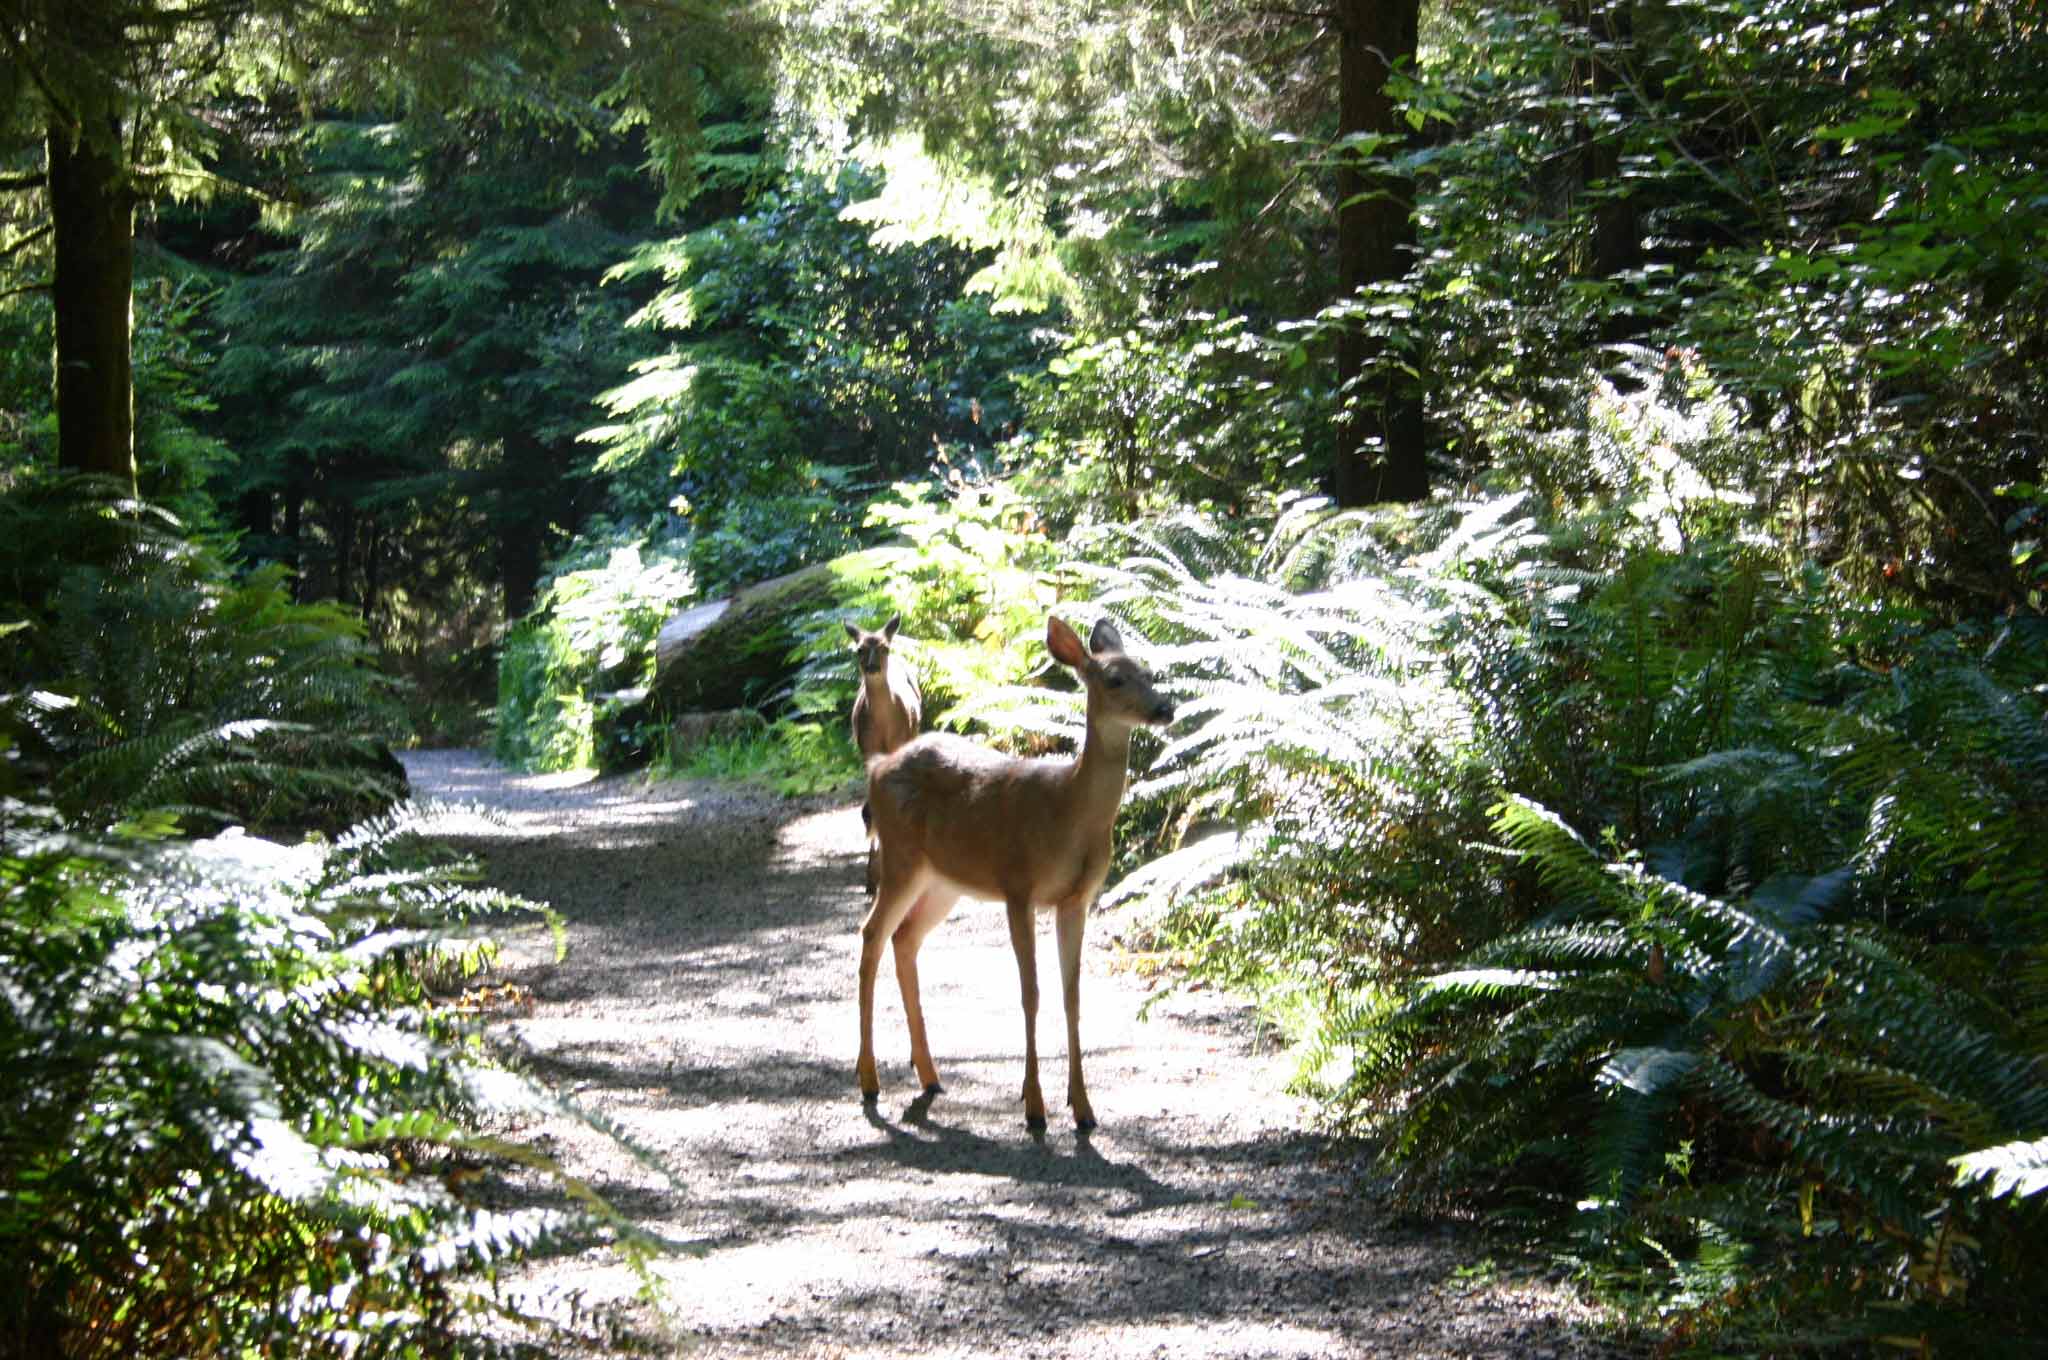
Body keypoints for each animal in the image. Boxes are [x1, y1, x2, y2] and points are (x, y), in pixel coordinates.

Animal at [839, 614, 921, 893]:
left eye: (884, 648)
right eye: (859, 650)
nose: (872, 667)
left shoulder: (899, 740)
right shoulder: (867, 747)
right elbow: (870, 807)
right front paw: (872, 877)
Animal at [856, 614, 1179, 1122]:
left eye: (1149, 672)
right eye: (1114, 679)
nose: (1166, 708)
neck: (1068, 811)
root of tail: (878, 767)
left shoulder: (1076, 899)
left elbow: (1071, 995)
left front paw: (1082, 1107)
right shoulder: (1018, 885)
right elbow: (1032, 993)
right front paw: (1034, 1106)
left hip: (944, 880)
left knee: (904, 937)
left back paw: (929, 1074)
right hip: (902, 857)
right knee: (872, 933)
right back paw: (869, 1080)